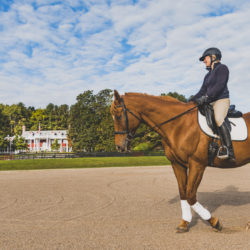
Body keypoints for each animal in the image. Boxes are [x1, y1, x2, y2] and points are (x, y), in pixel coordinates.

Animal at [110, 89, 250, 232]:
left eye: (118, 116)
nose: (119, 147)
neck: (178, 125)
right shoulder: (177, 164)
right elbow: (183, 193)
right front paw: (184, 222)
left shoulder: (197, 164)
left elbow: (190, 195)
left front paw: (214, 222)